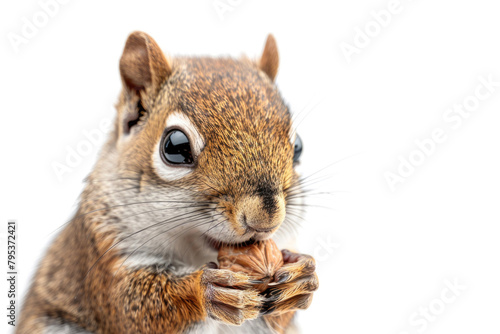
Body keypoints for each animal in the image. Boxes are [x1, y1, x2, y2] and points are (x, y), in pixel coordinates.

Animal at [18, 32, 320, 334]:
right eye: (175, 147)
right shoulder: (104, 256)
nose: (265, 218)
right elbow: (135, 307)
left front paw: (301, 276)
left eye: (298, 146)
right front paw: (206, 288)